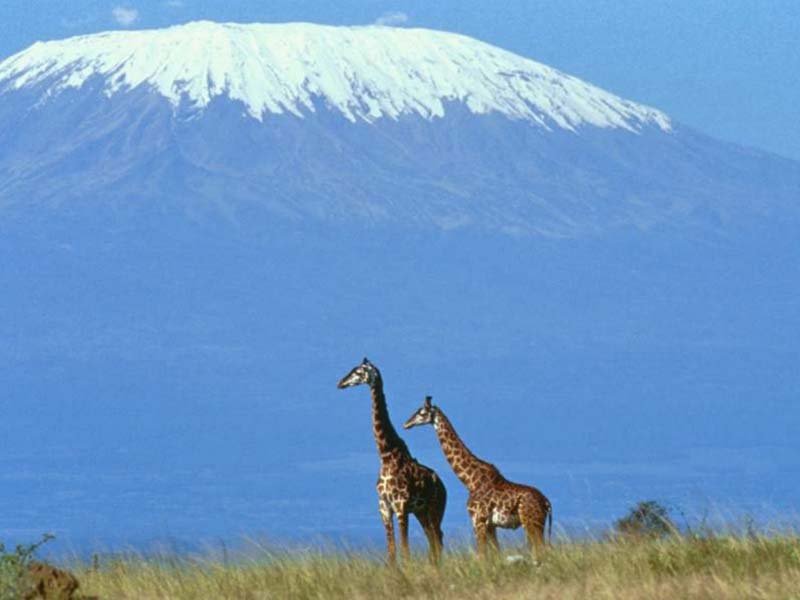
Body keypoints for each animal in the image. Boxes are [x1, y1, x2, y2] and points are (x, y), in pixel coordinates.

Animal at [338, 358, 446, 564]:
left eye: (358, 372)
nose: (340, 383)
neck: (386, 455)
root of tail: (443, 485)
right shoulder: (384, 508)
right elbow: (391, 551)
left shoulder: (401, 506)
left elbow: (405, 548)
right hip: (422, 512)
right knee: (434, 540)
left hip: (434, 510)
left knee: (437, 539)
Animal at [404, 396, 552, 560]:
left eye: (422, 413)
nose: (406, 424)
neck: (470, 481)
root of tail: (546, 503)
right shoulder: (490, 525)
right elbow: (495, 553)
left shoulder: (478, 521)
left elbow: (481, 555)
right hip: (537, 525)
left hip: (531, 524)